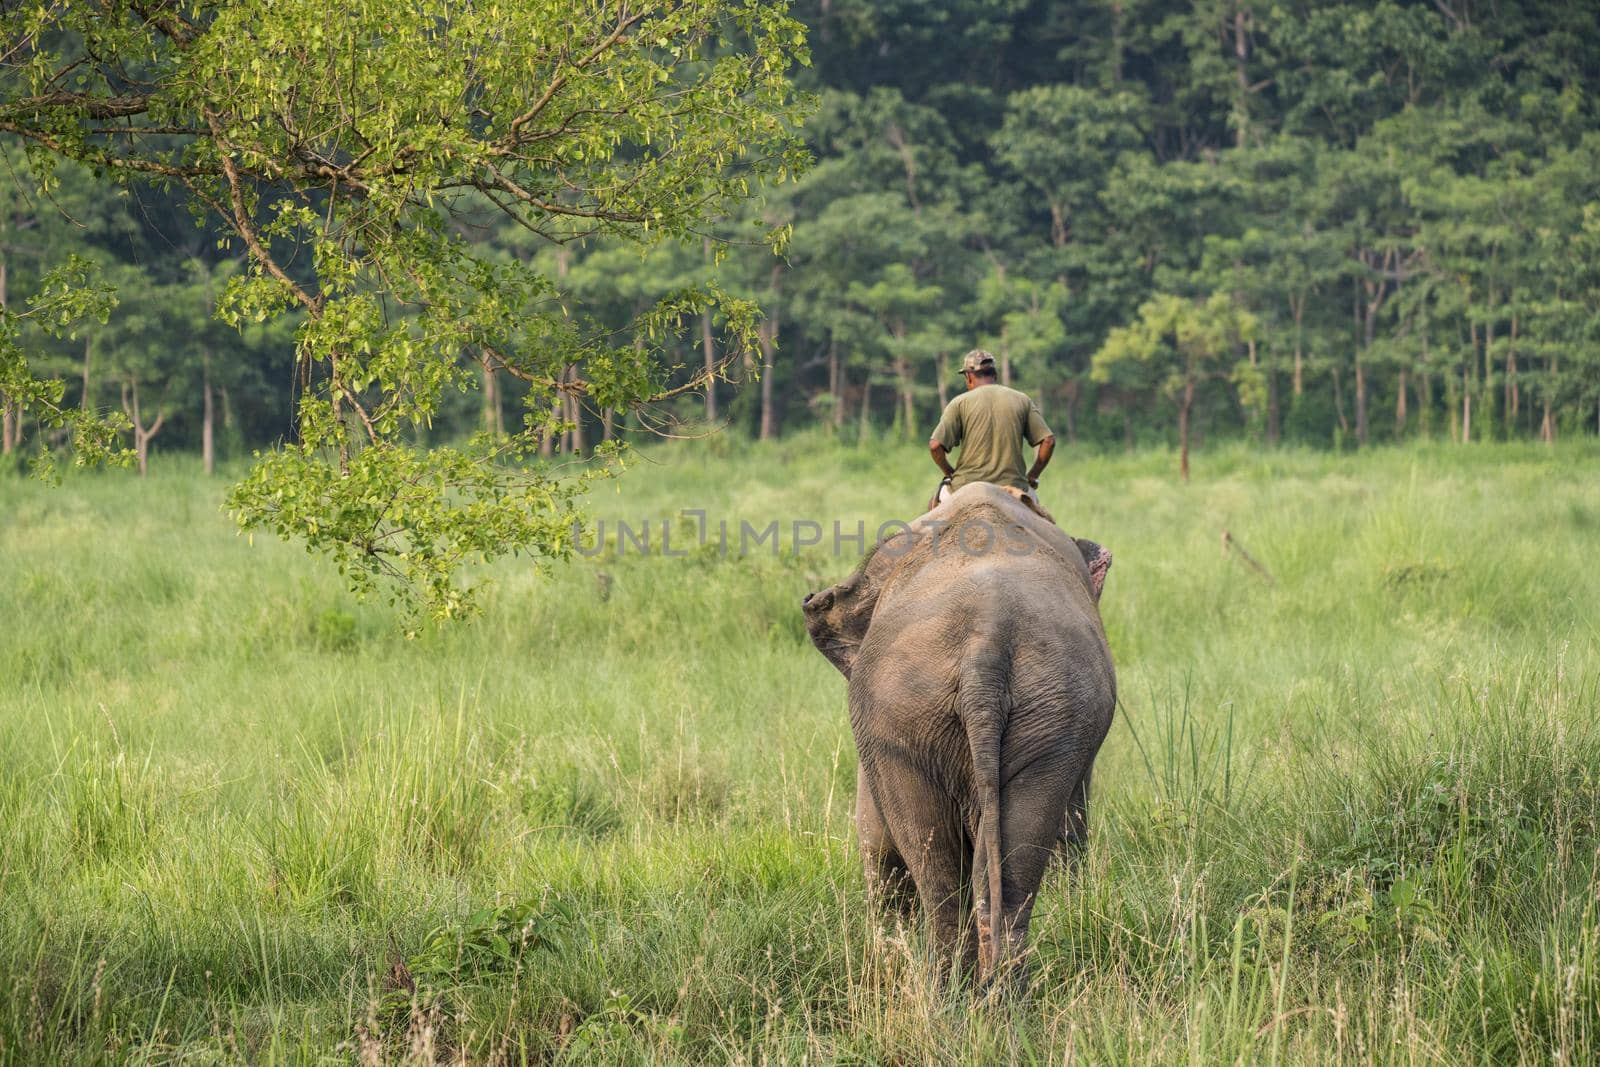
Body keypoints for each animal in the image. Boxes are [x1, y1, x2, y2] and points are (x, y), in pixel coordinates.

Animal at [800, 483, 1113, 985]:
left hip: (916, 720)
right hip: (1042, 715)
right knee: (1006, 871)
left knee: (940, 872)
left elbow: (875, 837)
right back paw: (994, 991)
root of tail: (986, 642)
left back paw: (956, 990)